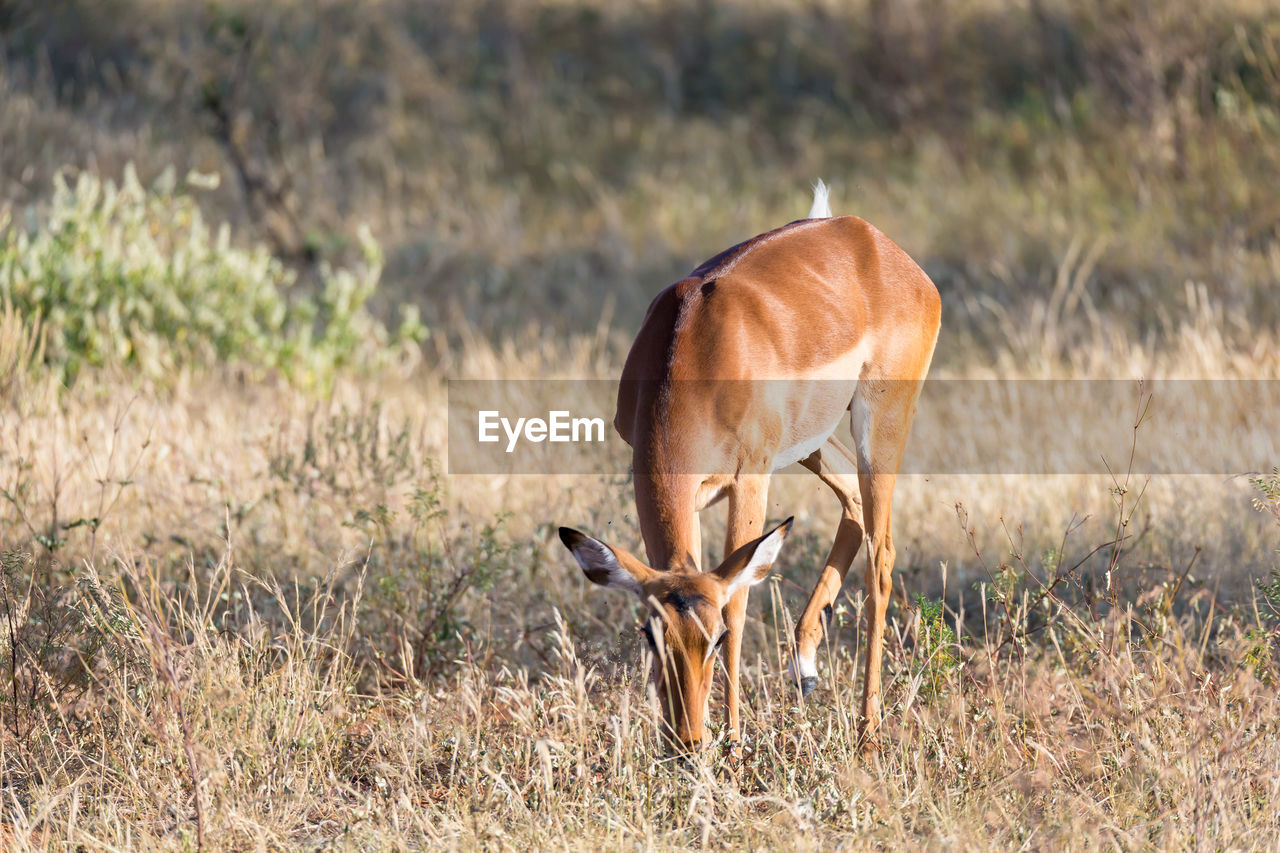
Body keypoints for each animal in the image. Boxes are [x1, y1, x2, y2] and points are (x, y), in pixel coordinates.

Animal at [560, 180, 942, 753]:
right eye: (651, 635)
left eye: (715, 639)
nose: (687, 741)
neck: (693, 348)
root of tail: (868, 236)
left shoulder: (750, 477)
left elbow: (739, 602)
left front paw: (736, 741)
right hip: (812, 443)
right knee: (853, 503)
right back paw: (805, 666)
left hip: (879, 425)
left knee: (882, 559)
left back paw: (868, 731)